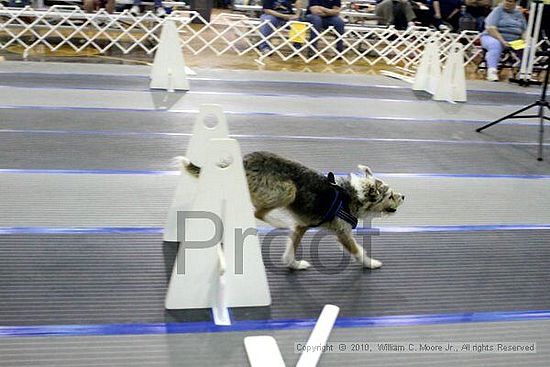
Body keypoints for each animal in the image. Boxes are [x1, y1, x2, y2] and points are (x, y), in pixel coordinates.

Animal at [177, 152, 406, 270]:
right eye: (390, 195)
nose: (403, 196)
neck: (351, 195)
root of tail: (245, 161)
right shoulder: (342, 233)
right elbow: (357, 251)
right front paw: (371, 263)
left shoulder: (301, 226)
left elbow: (291, 249)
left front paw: (293, 264)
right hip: (288, 190)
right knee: (257, 212)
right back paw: (278, 222)